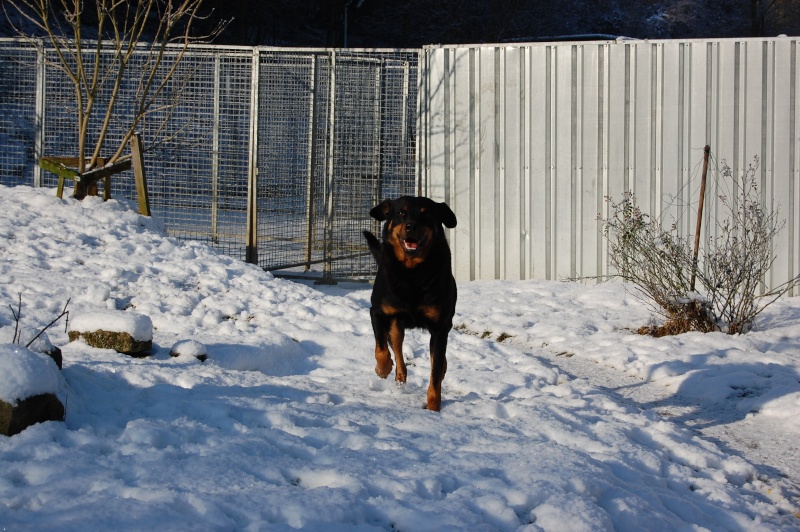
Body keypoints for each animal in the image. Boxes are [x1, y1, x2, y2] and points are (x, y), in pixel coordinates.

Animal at [362, 195, 456, 412]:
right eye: (400, 213)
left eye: (426, 214)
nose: (411, 226)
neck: (411, 273)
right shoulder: (378, 312)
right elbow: (380, 348)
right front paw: (382, 369)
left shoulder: (440, 327)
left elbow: (435, 372)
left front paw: (433, 407)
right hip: (396, 325)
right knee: (397, 349)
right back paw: (398, 375)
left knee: (437, 361)